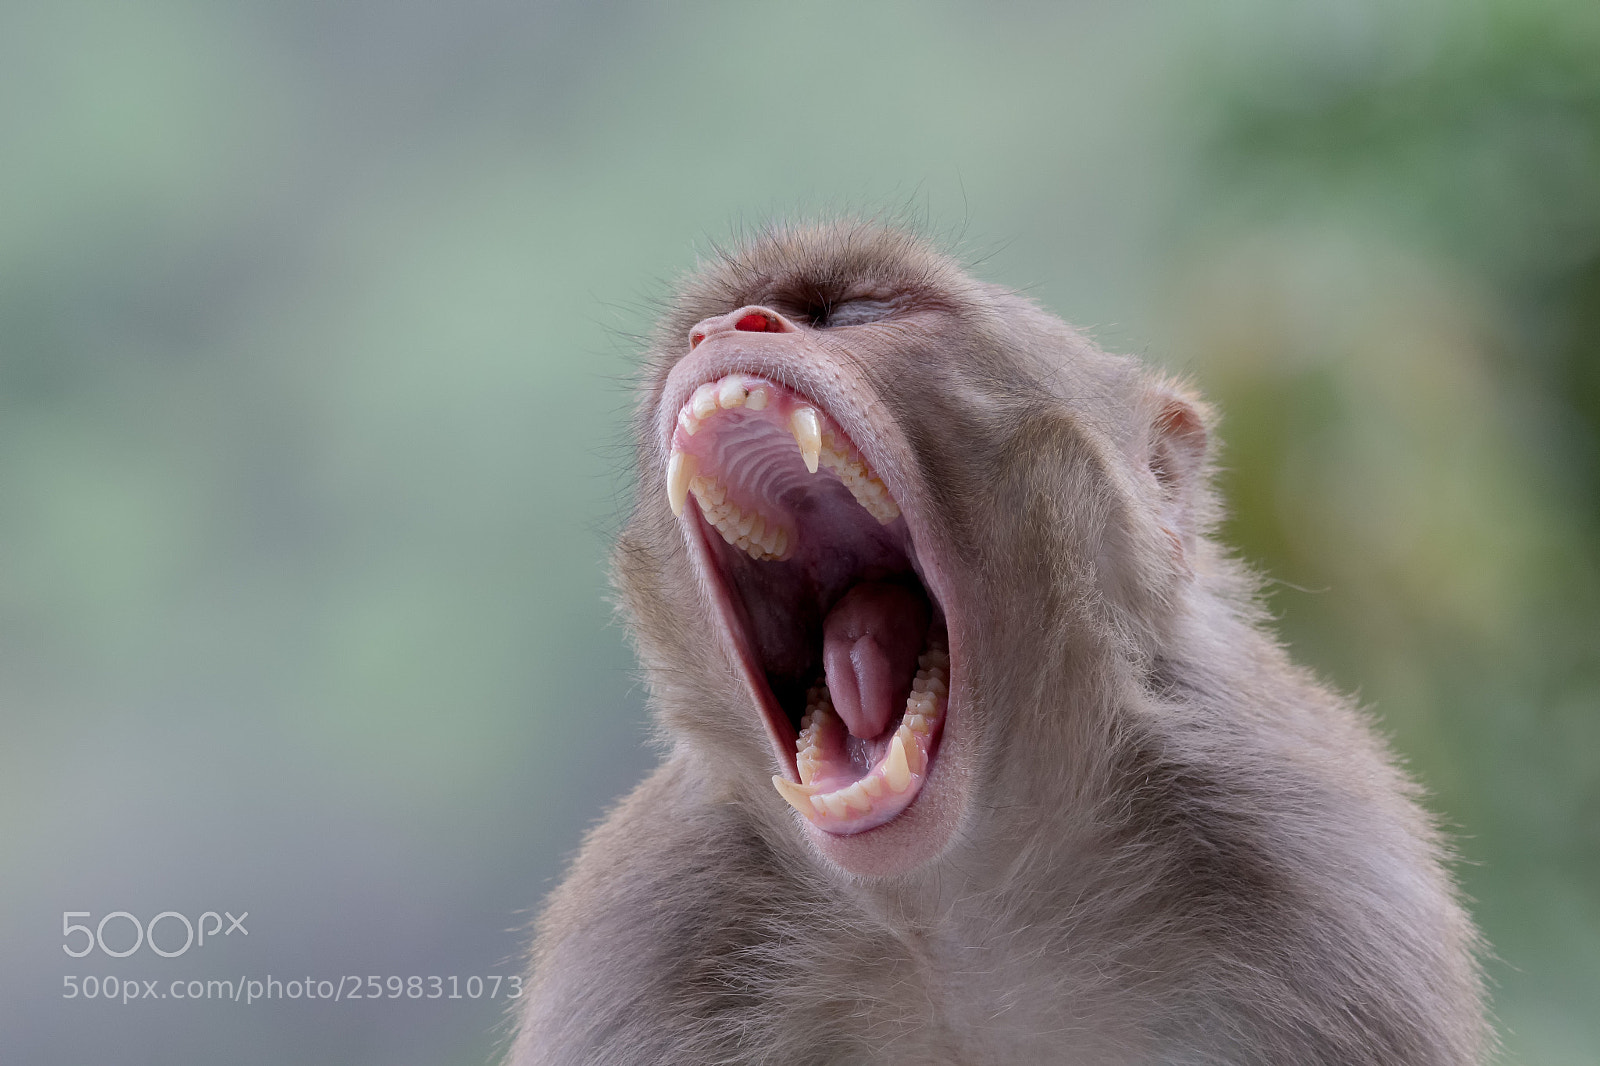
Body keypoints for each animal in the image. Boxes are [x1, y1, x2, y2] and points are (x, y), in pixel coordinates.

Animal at [507, 222, 1490, 1065]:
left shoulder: (1326, 890)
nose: (722, 329)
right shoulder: (645, 946)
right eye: (698, 334)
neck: (957, 912)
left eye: (854, 313)